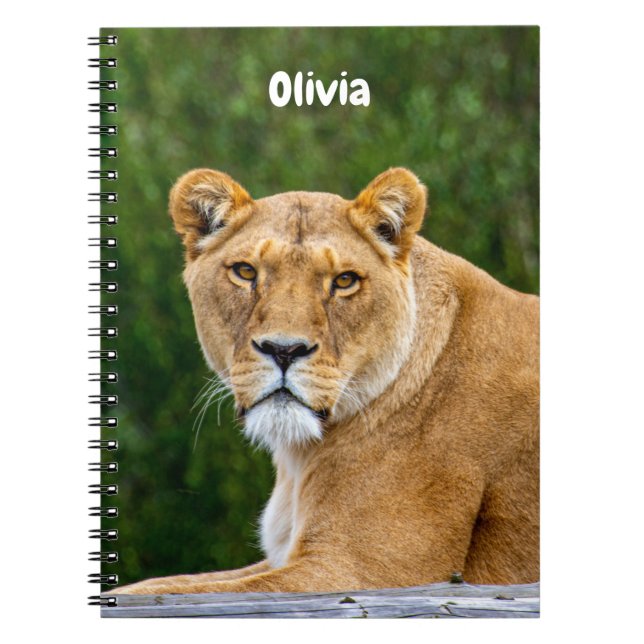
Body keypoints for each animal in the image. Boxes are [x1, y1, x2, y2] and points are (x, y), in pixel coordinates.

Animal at [113, 167, 539, 595]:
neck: (300, 455)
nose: (284, 350)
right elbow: (160, 584)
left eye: (345, 280)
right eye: (246, 272)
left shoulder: (364, 571)